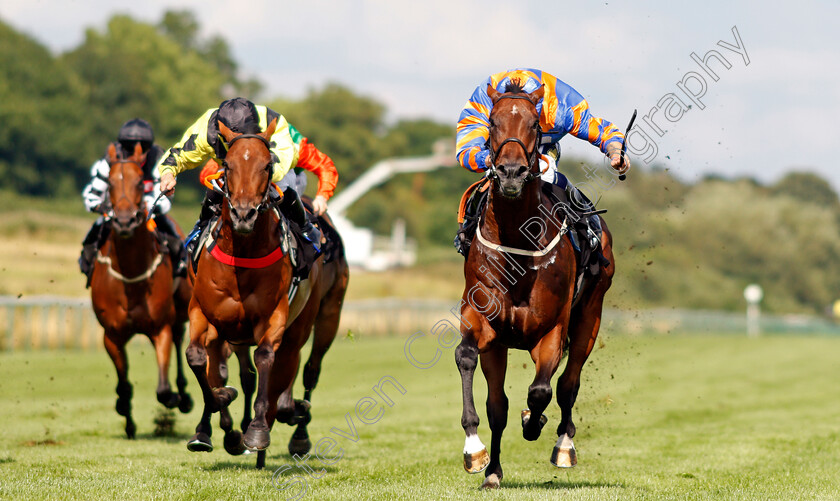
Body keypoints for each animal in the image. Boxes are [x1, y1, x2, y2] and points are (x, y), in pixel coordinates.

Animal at [91, 142, 193, 438]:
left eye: (139, 182)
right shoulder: (112, 335)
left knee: (179, 339)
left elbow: (162, 389)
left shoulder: (161, 327)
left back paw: (184, 396)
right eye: (110, 182)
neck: (130, 275)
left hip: (179, 310)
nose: (124, 222)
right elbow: (124, 385)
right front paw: (127, 418)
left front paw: (175, 397)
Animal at [185, 119, 350, 466]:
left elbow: (265, 359)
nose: (243, 214)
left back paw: (296, 430)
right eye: (228, 165)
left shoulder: (273, 317)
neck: (243, 255)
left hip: (324, 316)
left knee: (307, 368)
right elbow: (199, 360)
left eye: (266, 165)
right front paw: (221, 413)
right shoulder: (204, 313)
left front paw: (258, 430)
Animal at [460, 84, 616, 486]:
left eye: (534, 123)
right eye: (492, 121)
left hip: (590, 314)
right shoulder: (484, 324)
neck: (519, 242)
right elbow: (470, 362)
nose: (512, 172)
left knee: (567, 383)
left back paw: (563, 444)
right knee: (500, 403)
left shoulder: (552, 330)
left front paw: (534, 422)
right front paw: (477, 453)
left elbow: (543, 390)